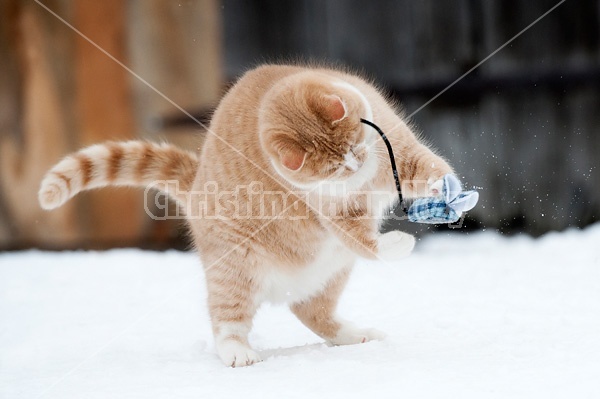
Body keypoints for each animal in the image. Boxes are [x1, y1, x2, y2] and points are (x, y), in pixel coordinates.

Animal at [39, 64, 452, 368]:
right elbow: (368, 242)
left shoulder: (399, 148)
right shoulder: (340, 216)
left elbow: (426, 166)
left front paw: (446, 188)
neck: (364, 177)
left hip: (333, 270)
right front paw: (397, 243)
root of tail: (197, 181)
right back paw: (237, 351)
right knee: (227, 319)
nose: (354, 164)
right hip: (234, 269)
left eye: (354, 143)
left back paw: (355, 335)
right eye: (333, 168)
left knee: (310, 309)